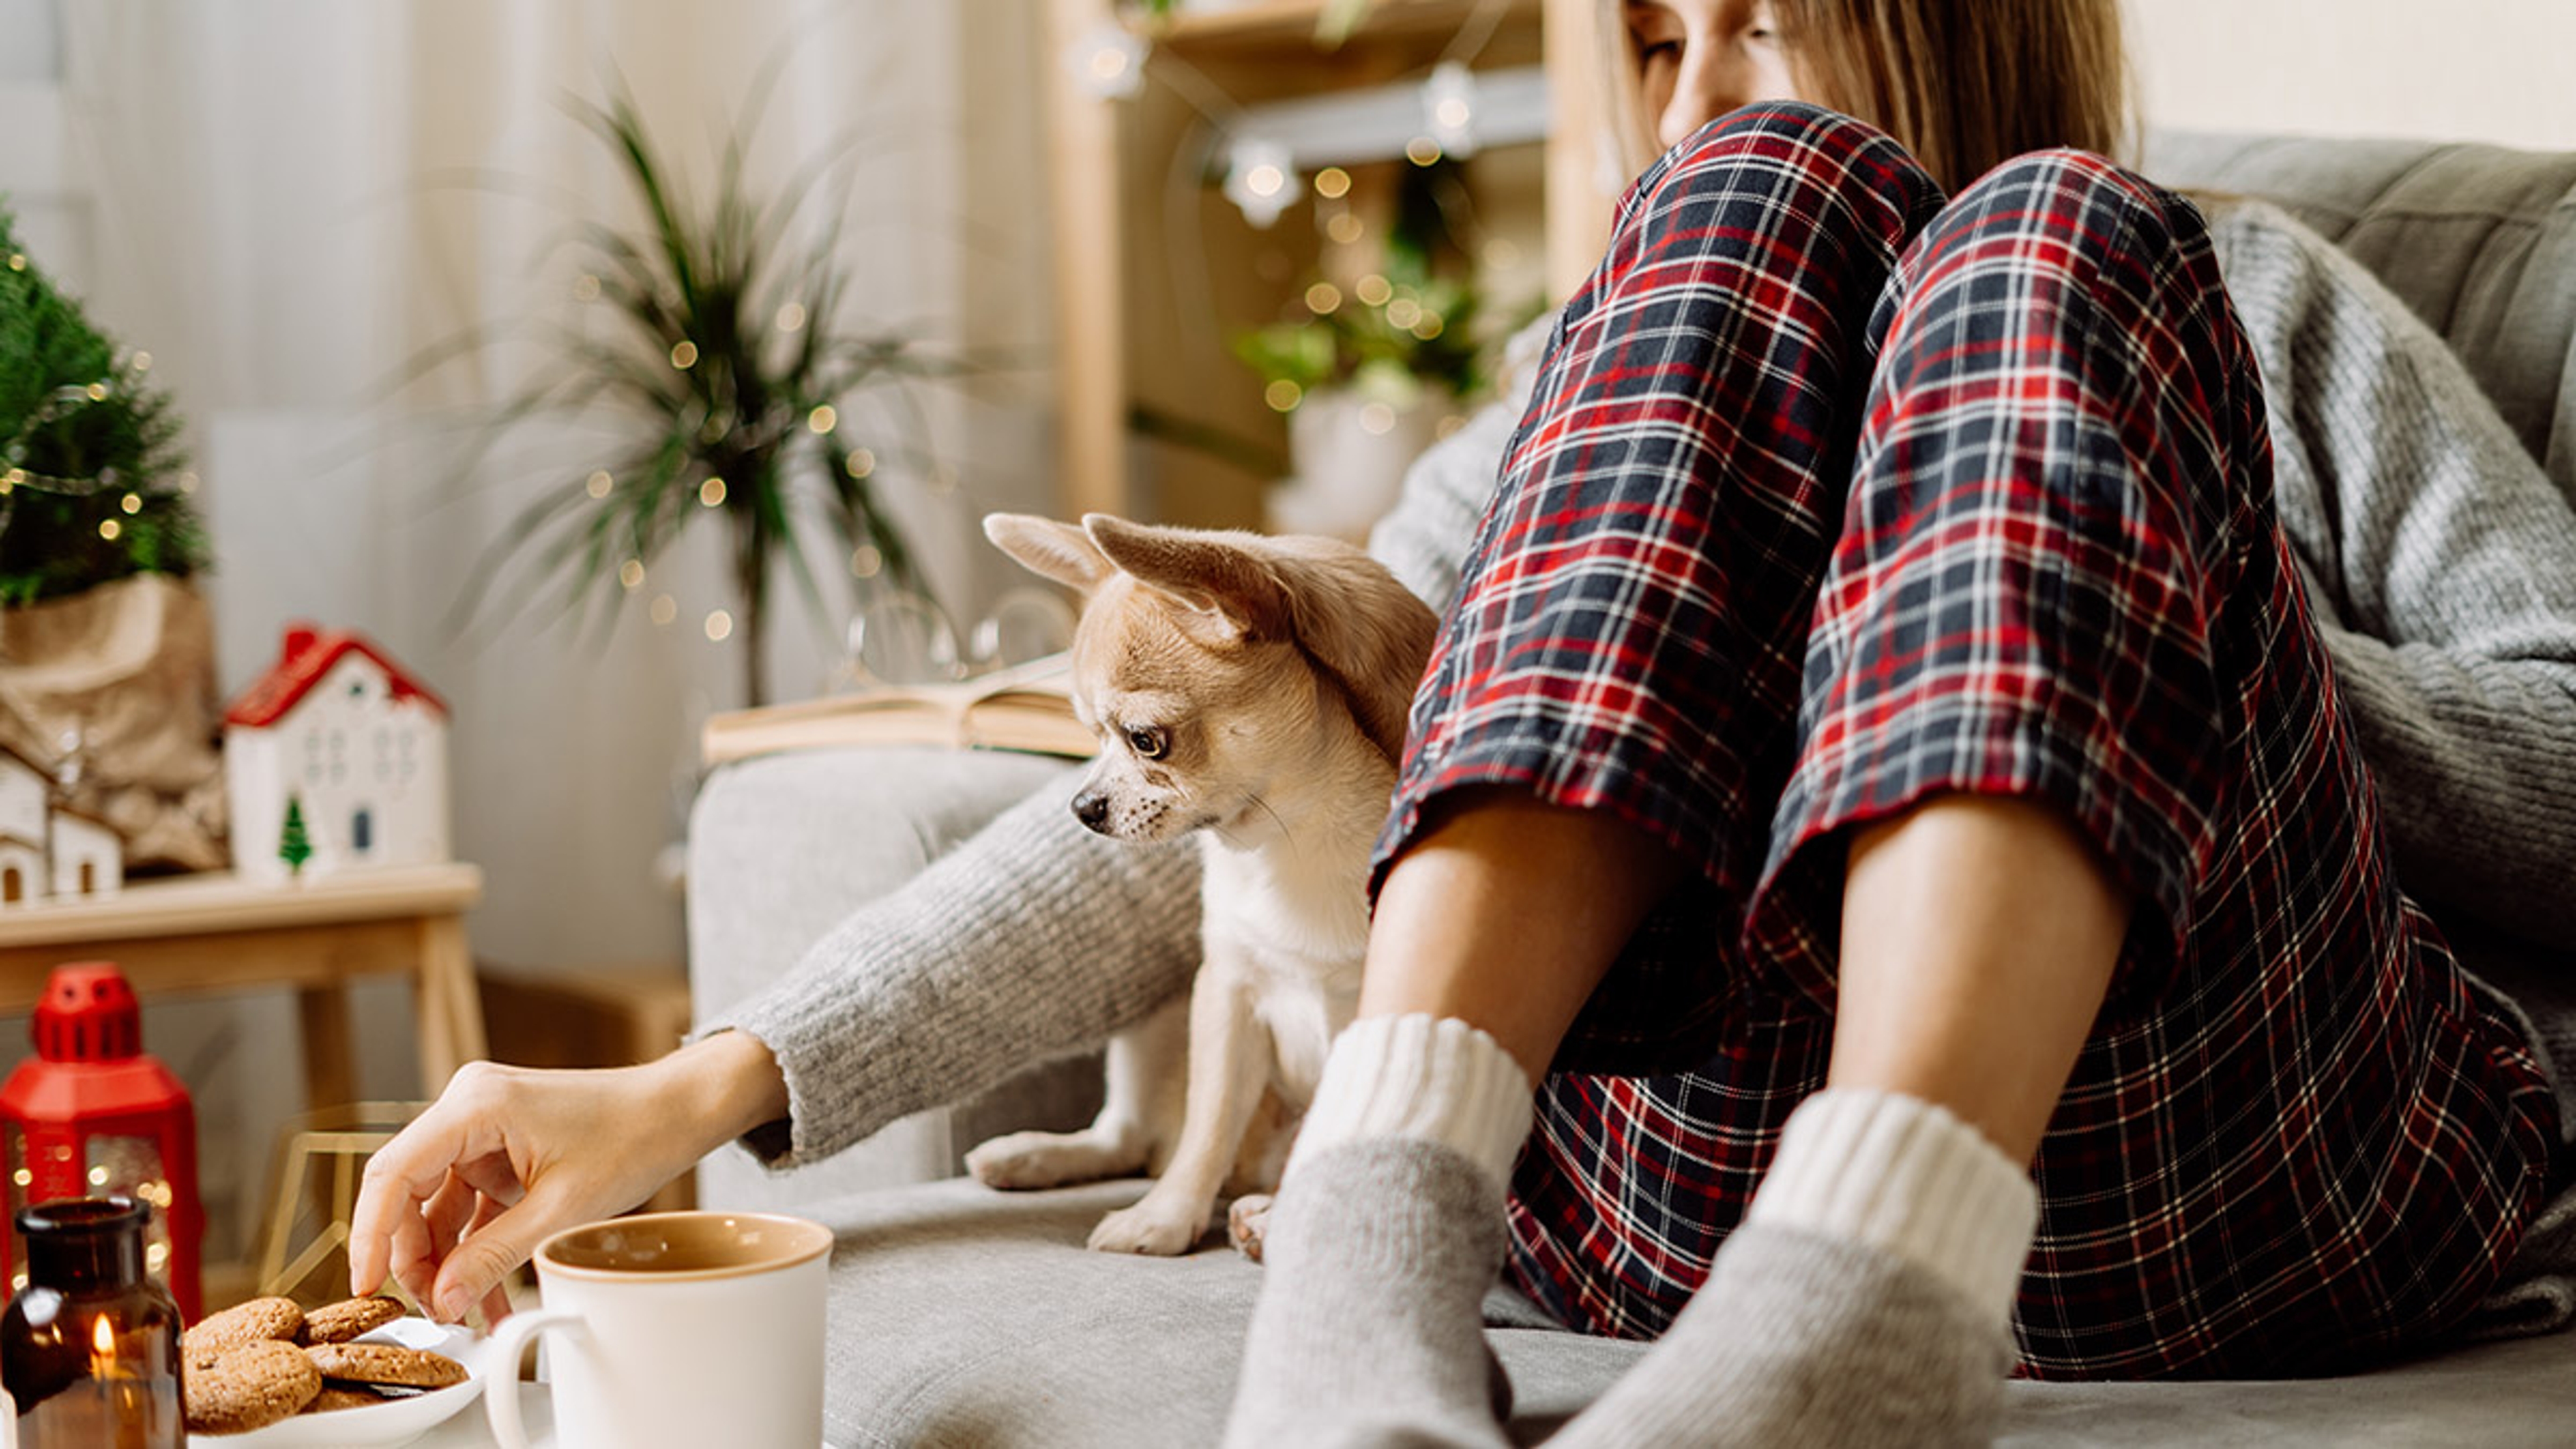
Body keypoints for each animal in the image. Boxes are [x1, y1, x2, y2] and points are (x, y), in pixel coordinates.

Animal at [968, 510, 1452, 1252]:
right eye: (1088, 737)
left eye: (1145, 740)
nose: (1082, 807)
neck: (1298, 835)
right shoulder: (1225, 988)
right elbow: (1210, 1119)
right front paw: (1164, 1218)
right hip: (1159, 1017)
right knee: (1130, 1135)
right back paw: (1035, 1155)